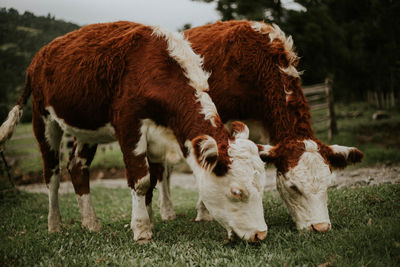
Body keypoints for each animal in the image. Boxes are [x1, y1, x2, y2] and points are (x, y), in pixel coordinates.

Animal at [0, 21, 268, 243]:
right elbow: (141, 180)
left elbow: (152, 181)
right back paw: (54, 225)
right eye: (236, 191)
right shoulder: (129, 127)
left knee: (77, 167)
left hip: (87, 130)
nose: (260, 234)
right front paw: (141, 229)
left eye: (262, 187)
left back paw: (90, 223)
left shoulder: (157, 139)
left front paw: (147, 219)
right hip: (43, 120)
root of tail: (38, 58)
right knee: (52, 175)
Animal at [158, 20, 364, 232]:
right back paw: (167, 211)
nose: (320, 227)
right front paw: (205, 212)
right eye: (293, 187)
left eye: (329, 185)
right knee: (163, 170)